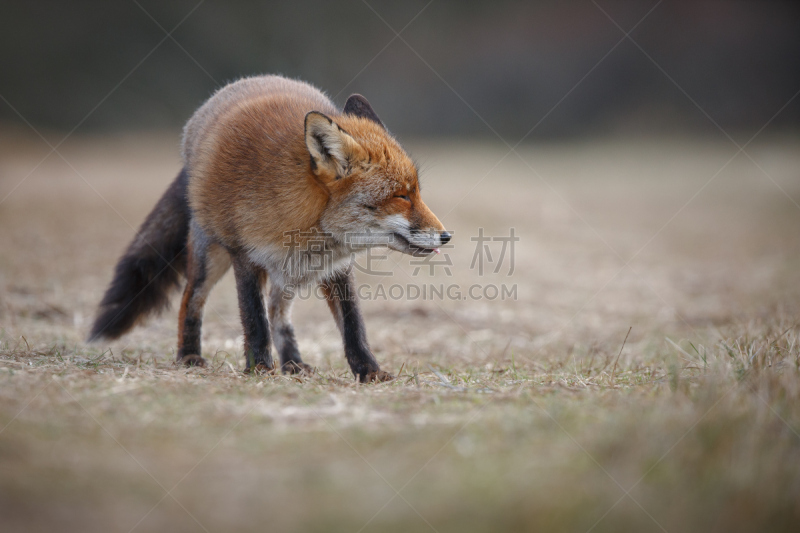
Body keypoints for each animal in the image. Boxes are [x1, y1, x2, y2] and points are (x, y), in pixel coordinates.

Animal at [90, 76, 450, 382]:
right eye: (402, 195)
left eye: (416, 192)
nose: (446, 236)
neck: (304, 223)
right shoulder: (245, 257)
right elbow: (254, 320)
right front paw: (260, 369)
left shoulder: (337, 268)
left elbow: (353, 326)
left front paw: (369, 371)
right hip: (211, 258)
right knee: (191, 300)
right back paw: (189, 356)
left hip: (290, 274)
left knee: (280, 314)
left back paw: (293, 362)